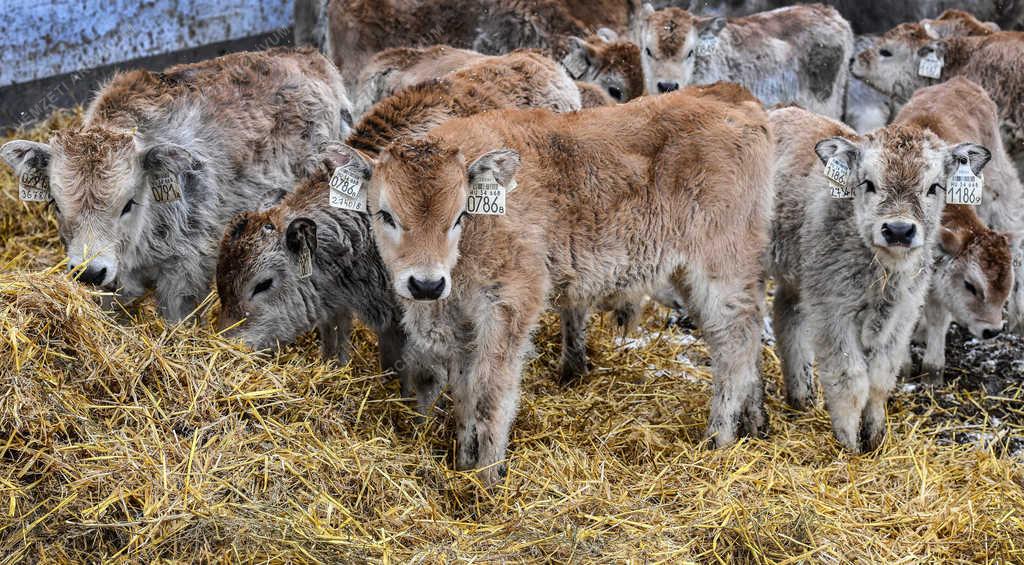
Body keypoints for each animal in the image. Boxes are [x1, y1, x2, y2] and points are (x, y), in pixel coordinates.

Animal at [331, 83, 770, 485]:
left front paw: (488, 478)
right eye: (385, 214)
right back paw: (755, 423)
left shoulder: (511, 303)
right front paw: (464, 460)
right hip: (698, 274)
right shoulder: (459, 320)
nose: (426, 284)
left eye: (459, 216)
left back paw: (718, 439)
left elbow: (491, 391)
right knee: (745, 339)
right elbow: (464, 391)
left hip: (720, 266)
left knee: (735, 344)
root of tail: (732, 94)